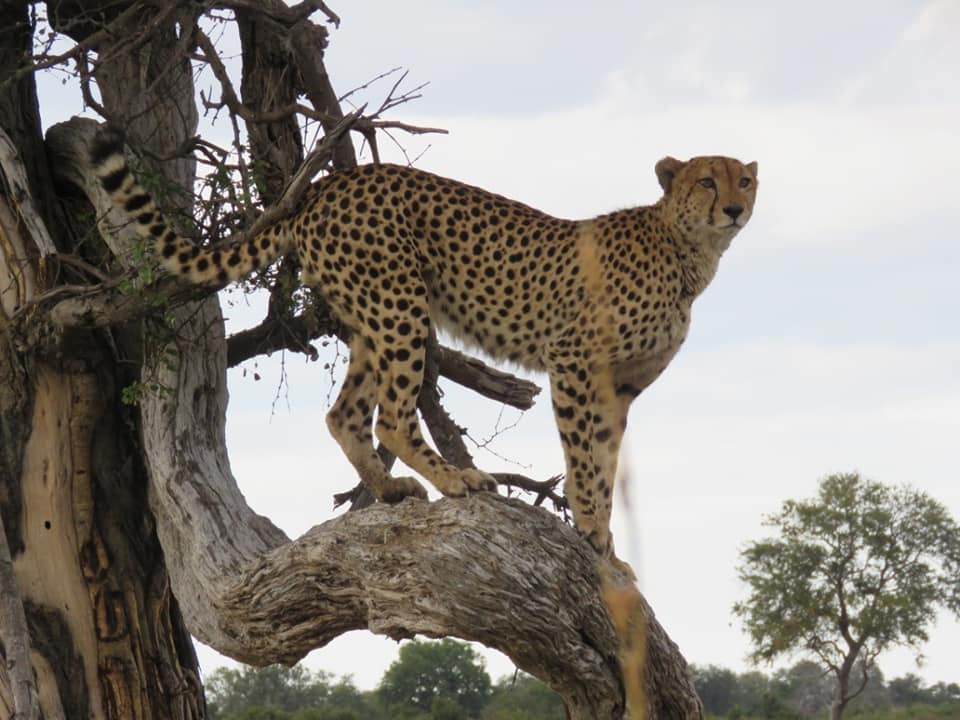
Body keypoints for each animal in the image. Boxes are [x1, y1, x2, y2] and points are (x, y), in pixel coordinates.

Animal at [90, 127, 757, 555]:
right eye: (705, 181)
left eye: (744, 182)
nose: (732, 209)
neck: (689, 252)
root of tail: (329, 182)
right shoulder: (573, 361)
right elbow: (583, 455)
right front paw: (591, 527)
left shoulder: (621, 386)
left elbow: (608, 458)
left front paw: (607, 540)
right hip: (401, 307)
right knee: (391, 417)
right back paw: (456, 480)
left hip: (371, 318)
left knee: (345, 414)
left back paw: (389, 488)